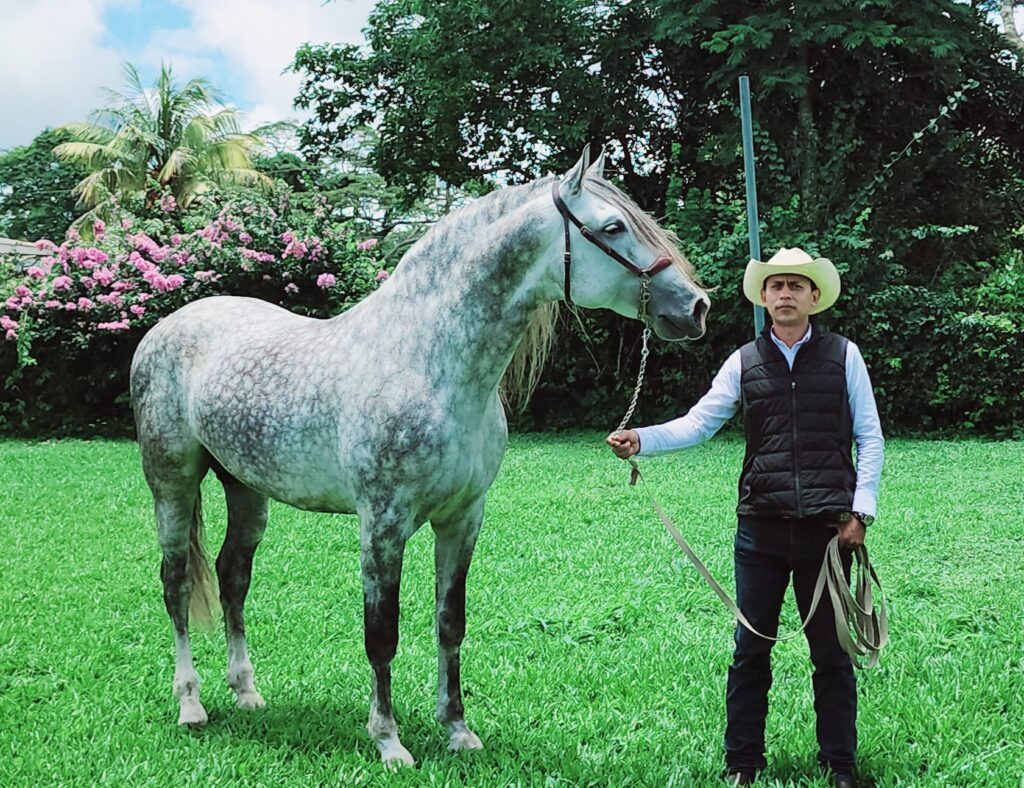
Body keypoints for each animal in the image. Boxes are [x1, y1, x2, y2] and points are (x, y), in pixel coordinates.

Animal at [130, 147, 710, 765]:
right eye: (614, 227)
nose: (696, 307)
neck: (426, 364)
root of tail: (166, 328)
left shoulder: (462, 518)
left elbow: (450, 622)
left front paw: (457, 729)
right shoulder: (383, 524)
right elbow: (381, 633)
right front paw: (388, 740)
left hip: (246, 489)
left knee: (232, 577)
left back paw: (247, 692)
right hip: (172, 483)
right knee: (176, 583)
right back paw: (191, 705)